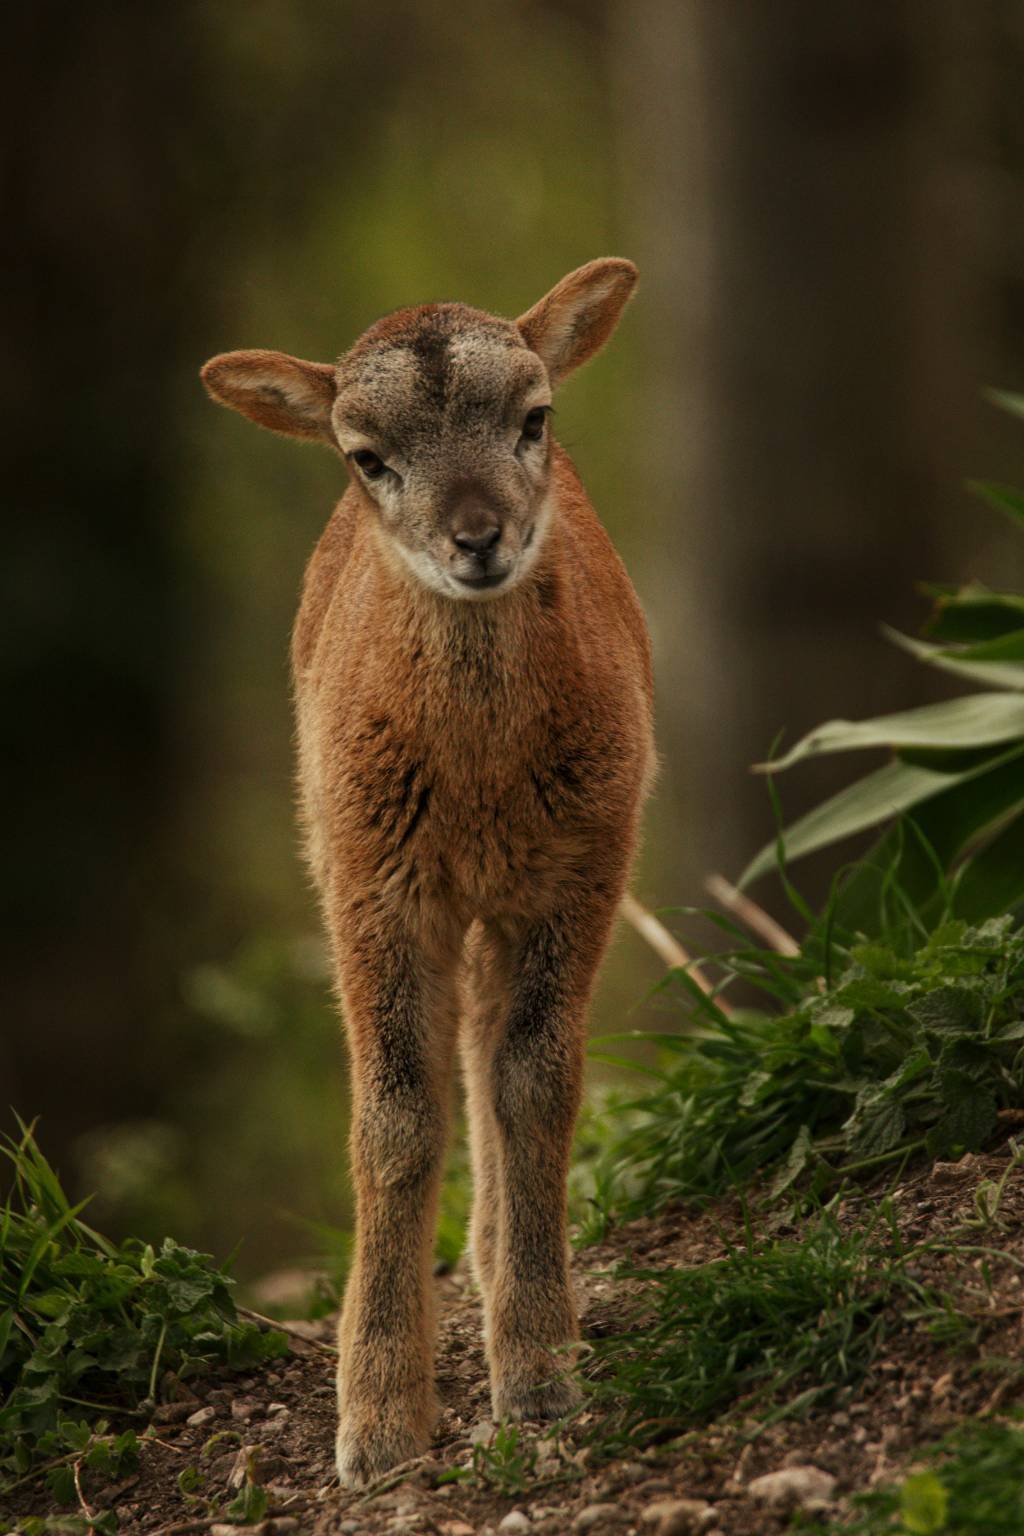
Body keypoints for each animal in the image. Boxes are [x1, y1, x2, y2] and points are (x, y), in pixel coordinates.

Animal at [202, 261, 657, 1486]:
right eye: (365, 456)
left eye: (535, 417)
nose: (478, 539)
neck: (477, 779)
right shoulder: (370, 884)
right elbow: (396, 1118)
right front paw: (377, 1425)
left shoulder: (580, 871)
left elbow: (534, 1083)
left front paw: (540, 1375)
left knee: (497, 1062)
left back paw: (505, 1275)